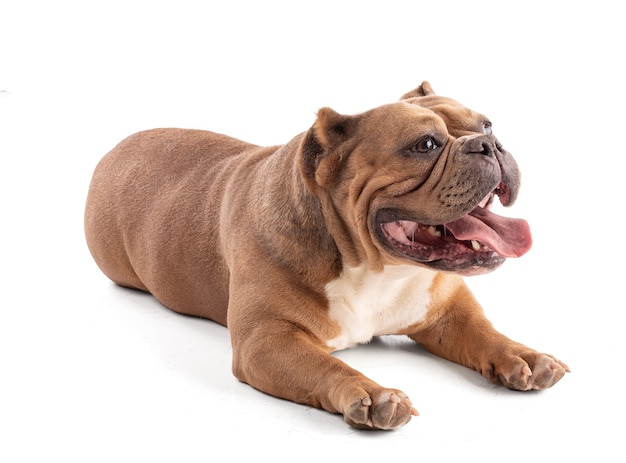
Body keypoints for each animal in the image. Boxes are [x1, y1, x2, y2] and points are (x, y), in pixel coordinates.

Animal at [85, 80, 568, 432]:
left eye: (487, 125)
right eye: (425, 145)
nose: (489, 145)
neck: (375, 269)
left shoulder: (446, 310)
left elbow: (484, 332)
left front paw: (523, 355)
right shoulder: (268, 340)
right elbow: (324, 364)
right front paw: (371, 394)